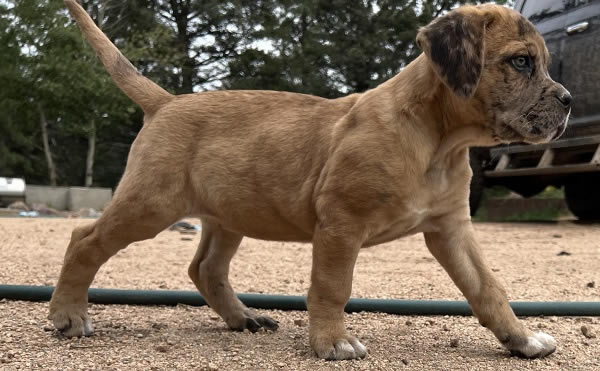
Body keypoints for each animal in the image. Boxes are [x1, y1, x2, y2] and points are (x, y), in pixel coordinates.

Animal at [52, 0, 572, 360]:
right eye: (521, 62)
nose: (568, 101)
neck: (439, 142)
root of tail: (166, 101)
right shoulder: (342, 223)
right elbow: (332, 286)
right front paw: (332, 342)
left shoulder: (452, 229)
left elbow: (488, 288)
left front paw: (521, 339)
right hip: (149, 205)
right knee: (84, 240)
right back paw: (67, 314)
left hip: (227, 215)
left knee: (205, 268)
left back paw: (242, 317)